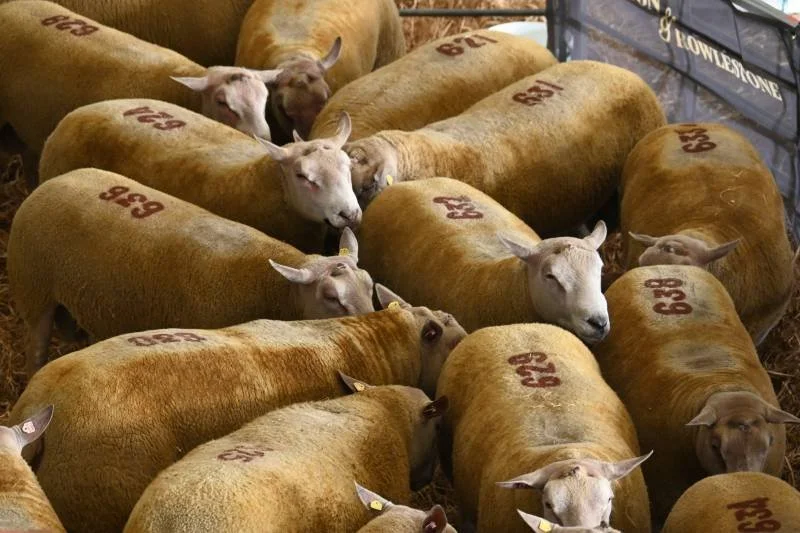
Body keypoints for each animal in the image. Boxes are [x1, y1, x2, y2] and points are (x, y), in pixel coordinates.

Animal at [8, 168, 378, 376]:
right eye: (331, 297)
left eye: (369, 285)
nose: (376, 325)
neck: (272, 288)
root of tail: (53, 181)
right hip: (33, 289)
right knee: (36, 349)